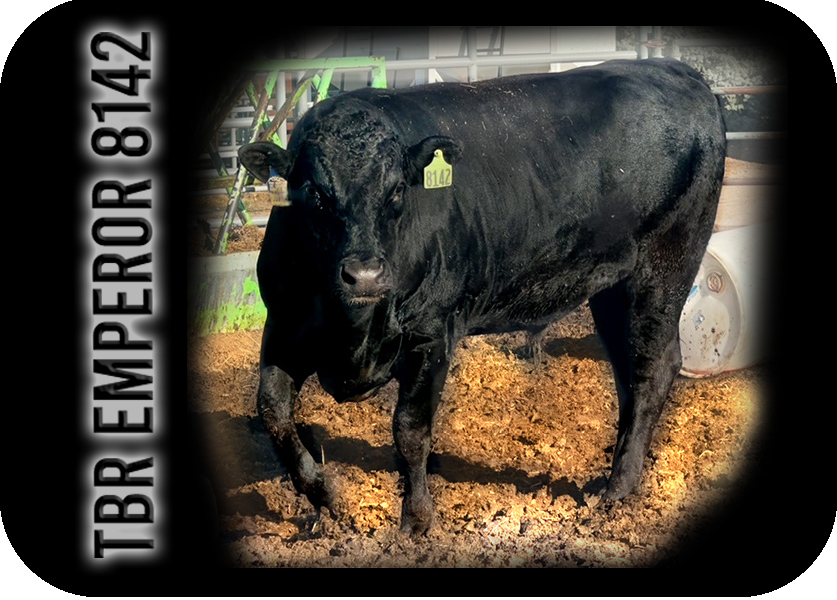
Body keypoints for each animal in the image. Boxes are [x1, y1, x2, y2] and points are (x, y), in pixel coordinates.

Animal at [238, 58, 726, 536]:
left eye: (397, 190)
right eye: (314, 193)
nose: (365, 275)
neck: (353, 332)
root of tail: (673, 70)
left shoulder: (430, 333)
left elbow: (409, 430)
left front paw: (416, 521)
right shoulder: (283, 328)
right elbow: (272, 412)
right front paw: (326, 497)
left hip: (664, 267)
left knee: (652, 368)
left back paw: (618, 490)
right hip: (611, 287)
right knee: (628, 370)